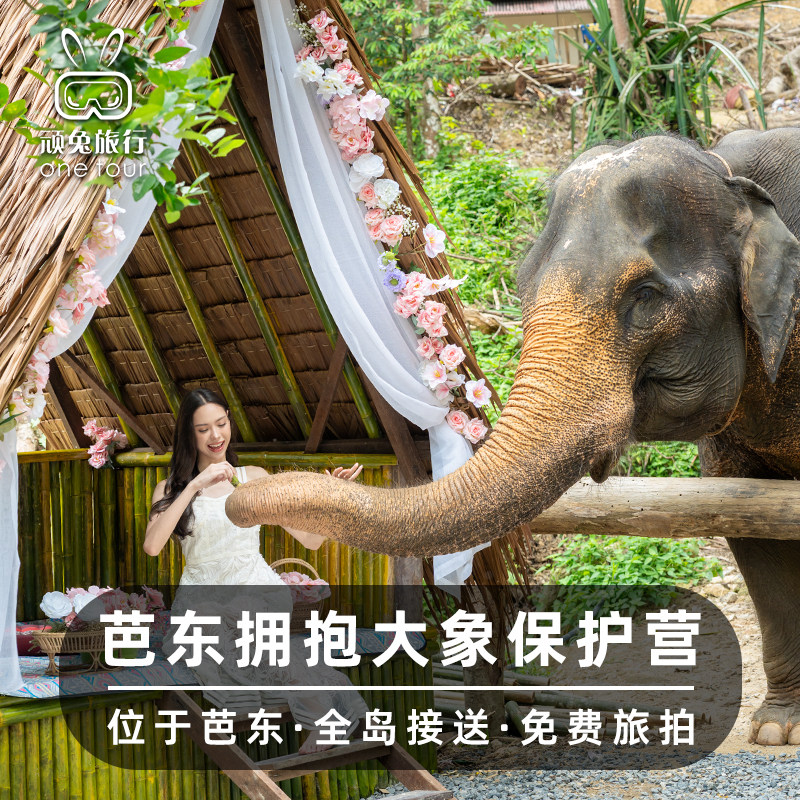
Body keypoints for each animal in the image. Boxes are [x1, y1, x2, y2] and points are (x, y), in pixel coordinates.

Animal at [228, 127, 800, 746]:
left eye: (646, 294)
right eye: (523, 286)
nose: (238, 490)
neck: (728, 175)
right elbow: (746, 517)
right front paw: (776, 729)